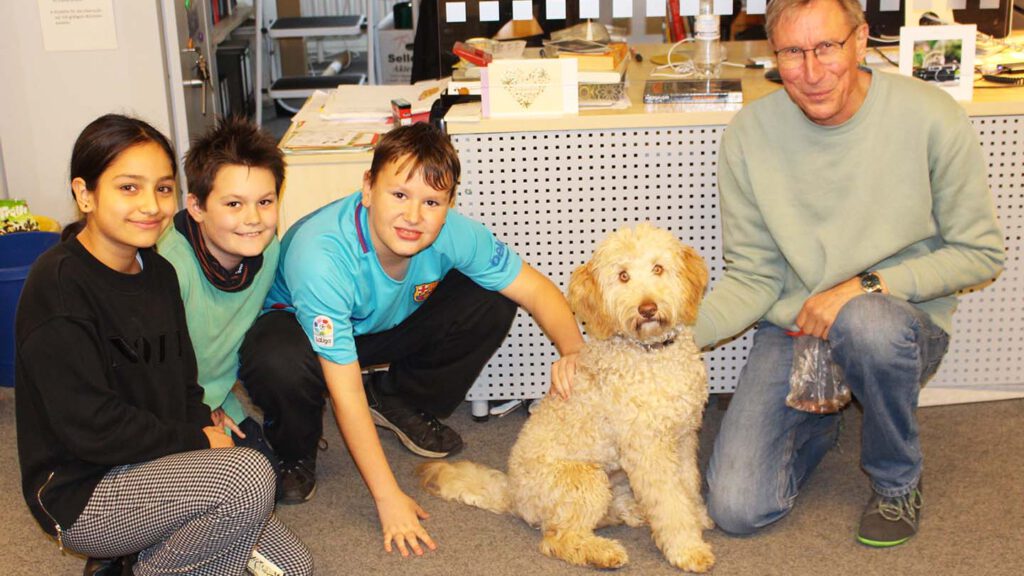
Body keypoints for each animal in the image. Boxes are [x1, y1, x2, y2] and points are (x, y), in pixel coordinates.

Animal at [417, 223, 714, 572]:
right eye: (623, 276)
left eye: (658, 268)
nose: (648, 308)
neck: (652, 352)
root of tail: (513, 493)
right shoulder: (649, 450)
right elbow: (670, 503)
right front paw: (687, 548)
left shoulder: (683, 438)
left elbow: (688, 487)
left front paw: (698, 518)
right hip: (586, 479)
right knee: (558, 538)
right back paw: (603, 552)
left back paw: (632, 513)